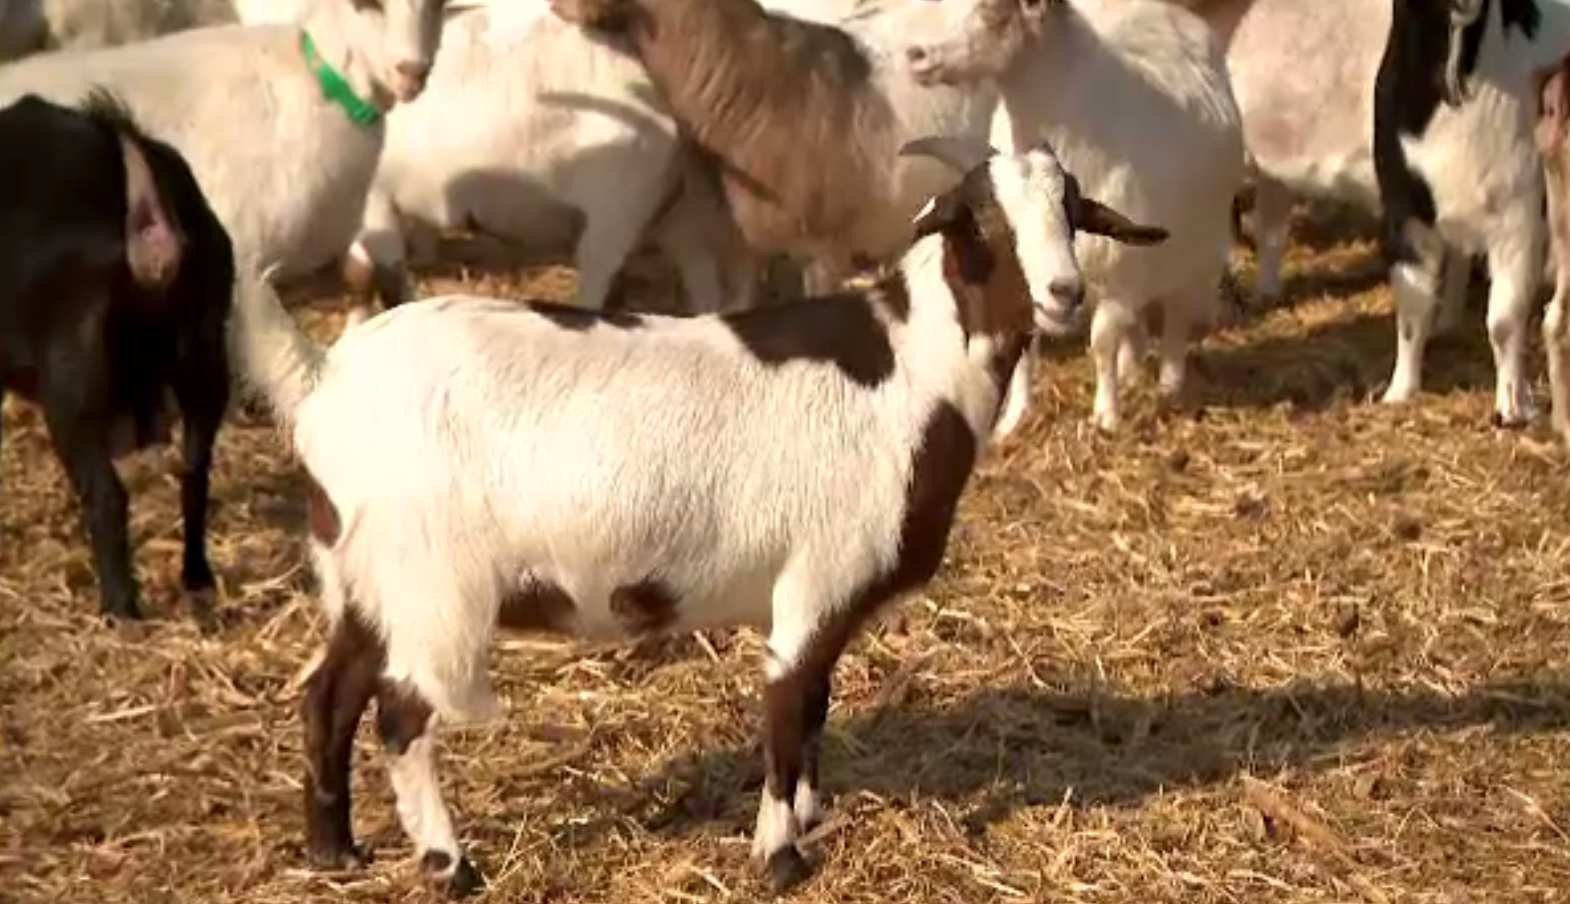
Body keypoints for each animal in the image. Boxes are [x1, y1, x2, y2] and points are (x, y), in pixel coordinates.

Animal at [0, 91, 233, 622]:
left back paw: (121, 612)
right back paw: (197, 582)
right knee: (194, 473)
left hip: (72, 389)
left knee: (107, 494)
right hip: (207, 359)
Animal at [235, 139, 1166, 895]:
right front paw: (779, 858)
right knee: (401, 715)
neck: (912, 369)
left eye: (1073, 211)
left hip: (364, 576)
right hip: (435, 586)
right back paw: (448, 865)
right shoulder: (815, 579)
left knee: (329, 697)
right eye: (983, 220)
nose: (1065, 292)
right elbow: (788, 710)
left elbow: (816, 708)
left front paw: (808, 822)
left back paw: (334, 851)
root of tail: (322, 382)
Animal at [906, 0, 1244, 434]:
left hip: (1192, 249)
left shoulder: (1119, 271)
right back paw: (1132, 372)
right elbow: (1027, 350)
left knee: (1176, 313)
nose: (916, 55)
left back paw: (1169, 384)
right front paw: (1015, 419)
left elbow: (1102, 342)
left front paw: (1106, 417)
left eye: (996, 12)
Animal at [1374, 0, 1569, 426]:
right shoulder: (1405, 211)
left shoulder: (1519, 218)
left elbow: (1504, 319)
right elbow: (1412, 309)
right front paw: (1400, 392)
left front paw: (1513, 406)